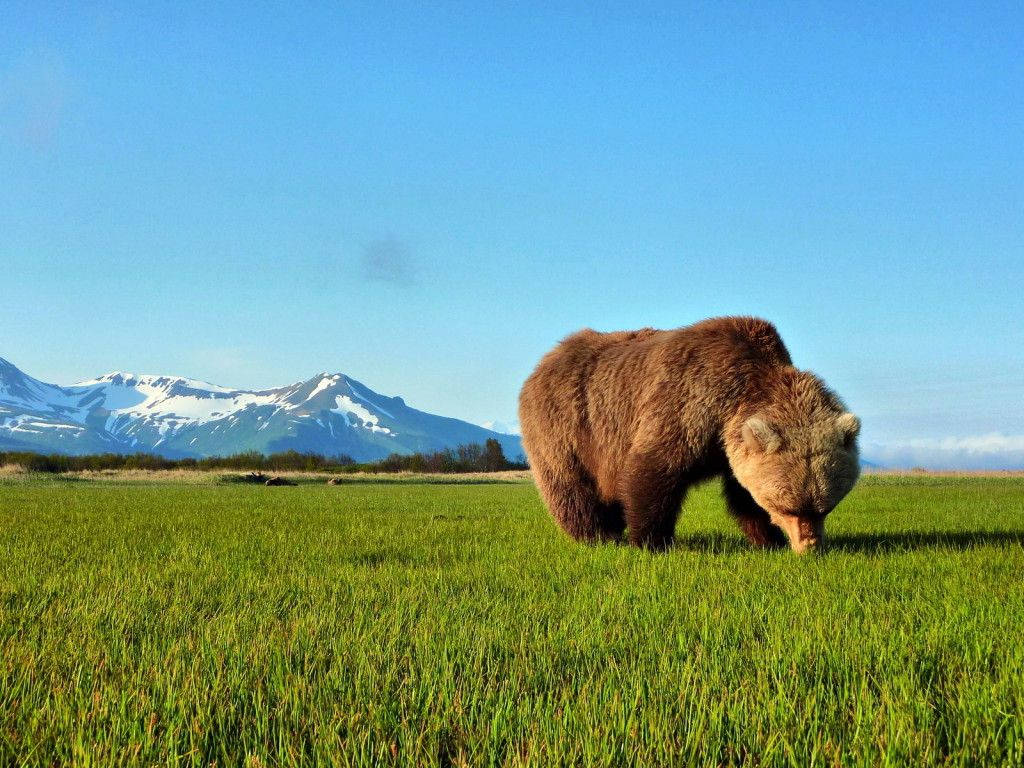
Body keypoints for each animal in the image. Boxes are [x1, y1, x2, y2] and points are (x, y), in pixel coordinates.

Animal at [516, 315, 860, 557]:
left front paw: (768, 539)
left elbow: (742, 495)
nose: (810, 547)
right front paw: (651, 542)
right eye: (788, 507)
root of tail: (546, 359)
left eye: (825, 506)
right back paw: (598, 536)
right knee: (571, 487)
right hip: (567, 426)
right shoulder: (687, 403)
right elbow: (653, 471)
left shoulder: (730, 446)